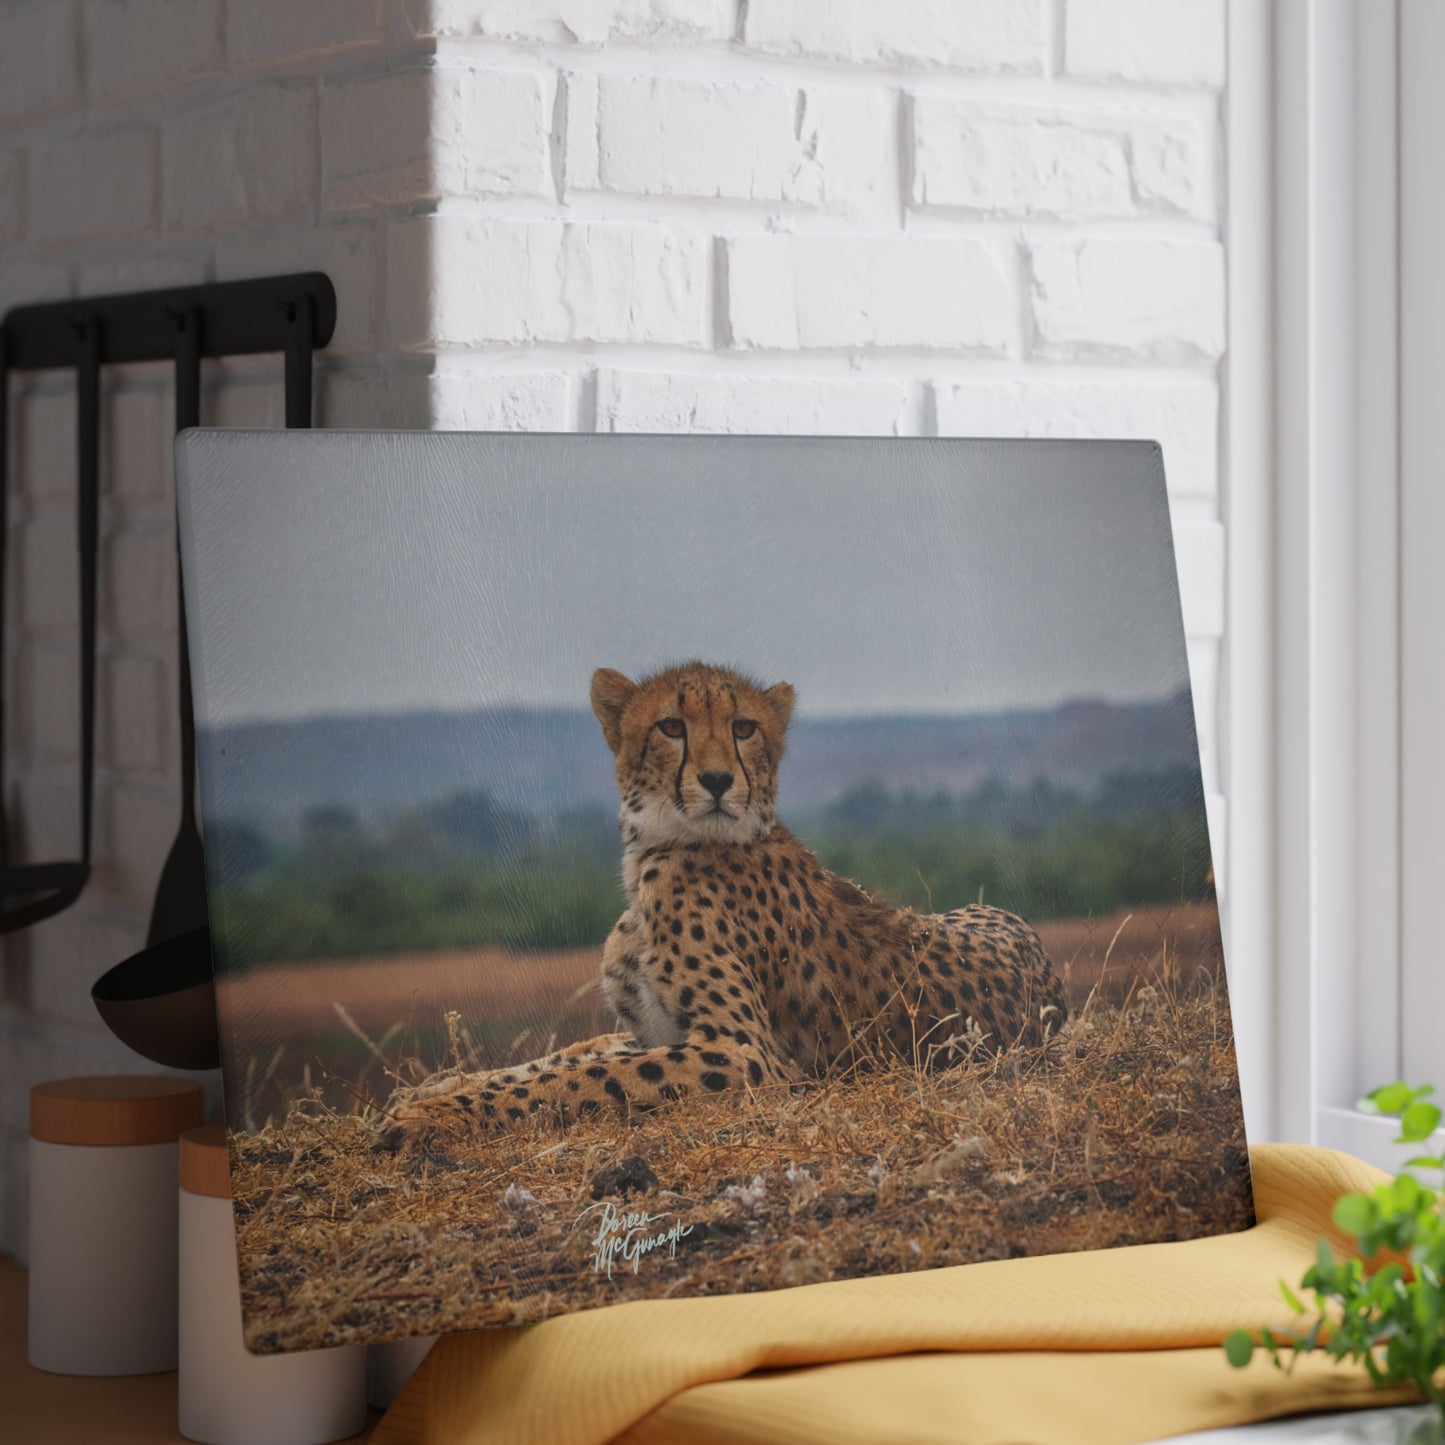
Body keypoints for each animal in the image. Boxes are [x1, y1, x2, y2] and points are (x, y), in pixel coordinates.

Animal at [378, 661, 1066, 1148]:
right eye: (671, 726)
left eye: (743, 728)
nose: (715, 780)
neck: (657, 849)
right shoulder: (656, 1031)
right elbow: (563, 1061)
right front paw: (434, 1091)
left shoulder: (744, 1054)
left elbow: (584, 1077)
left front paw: (432, 1115)